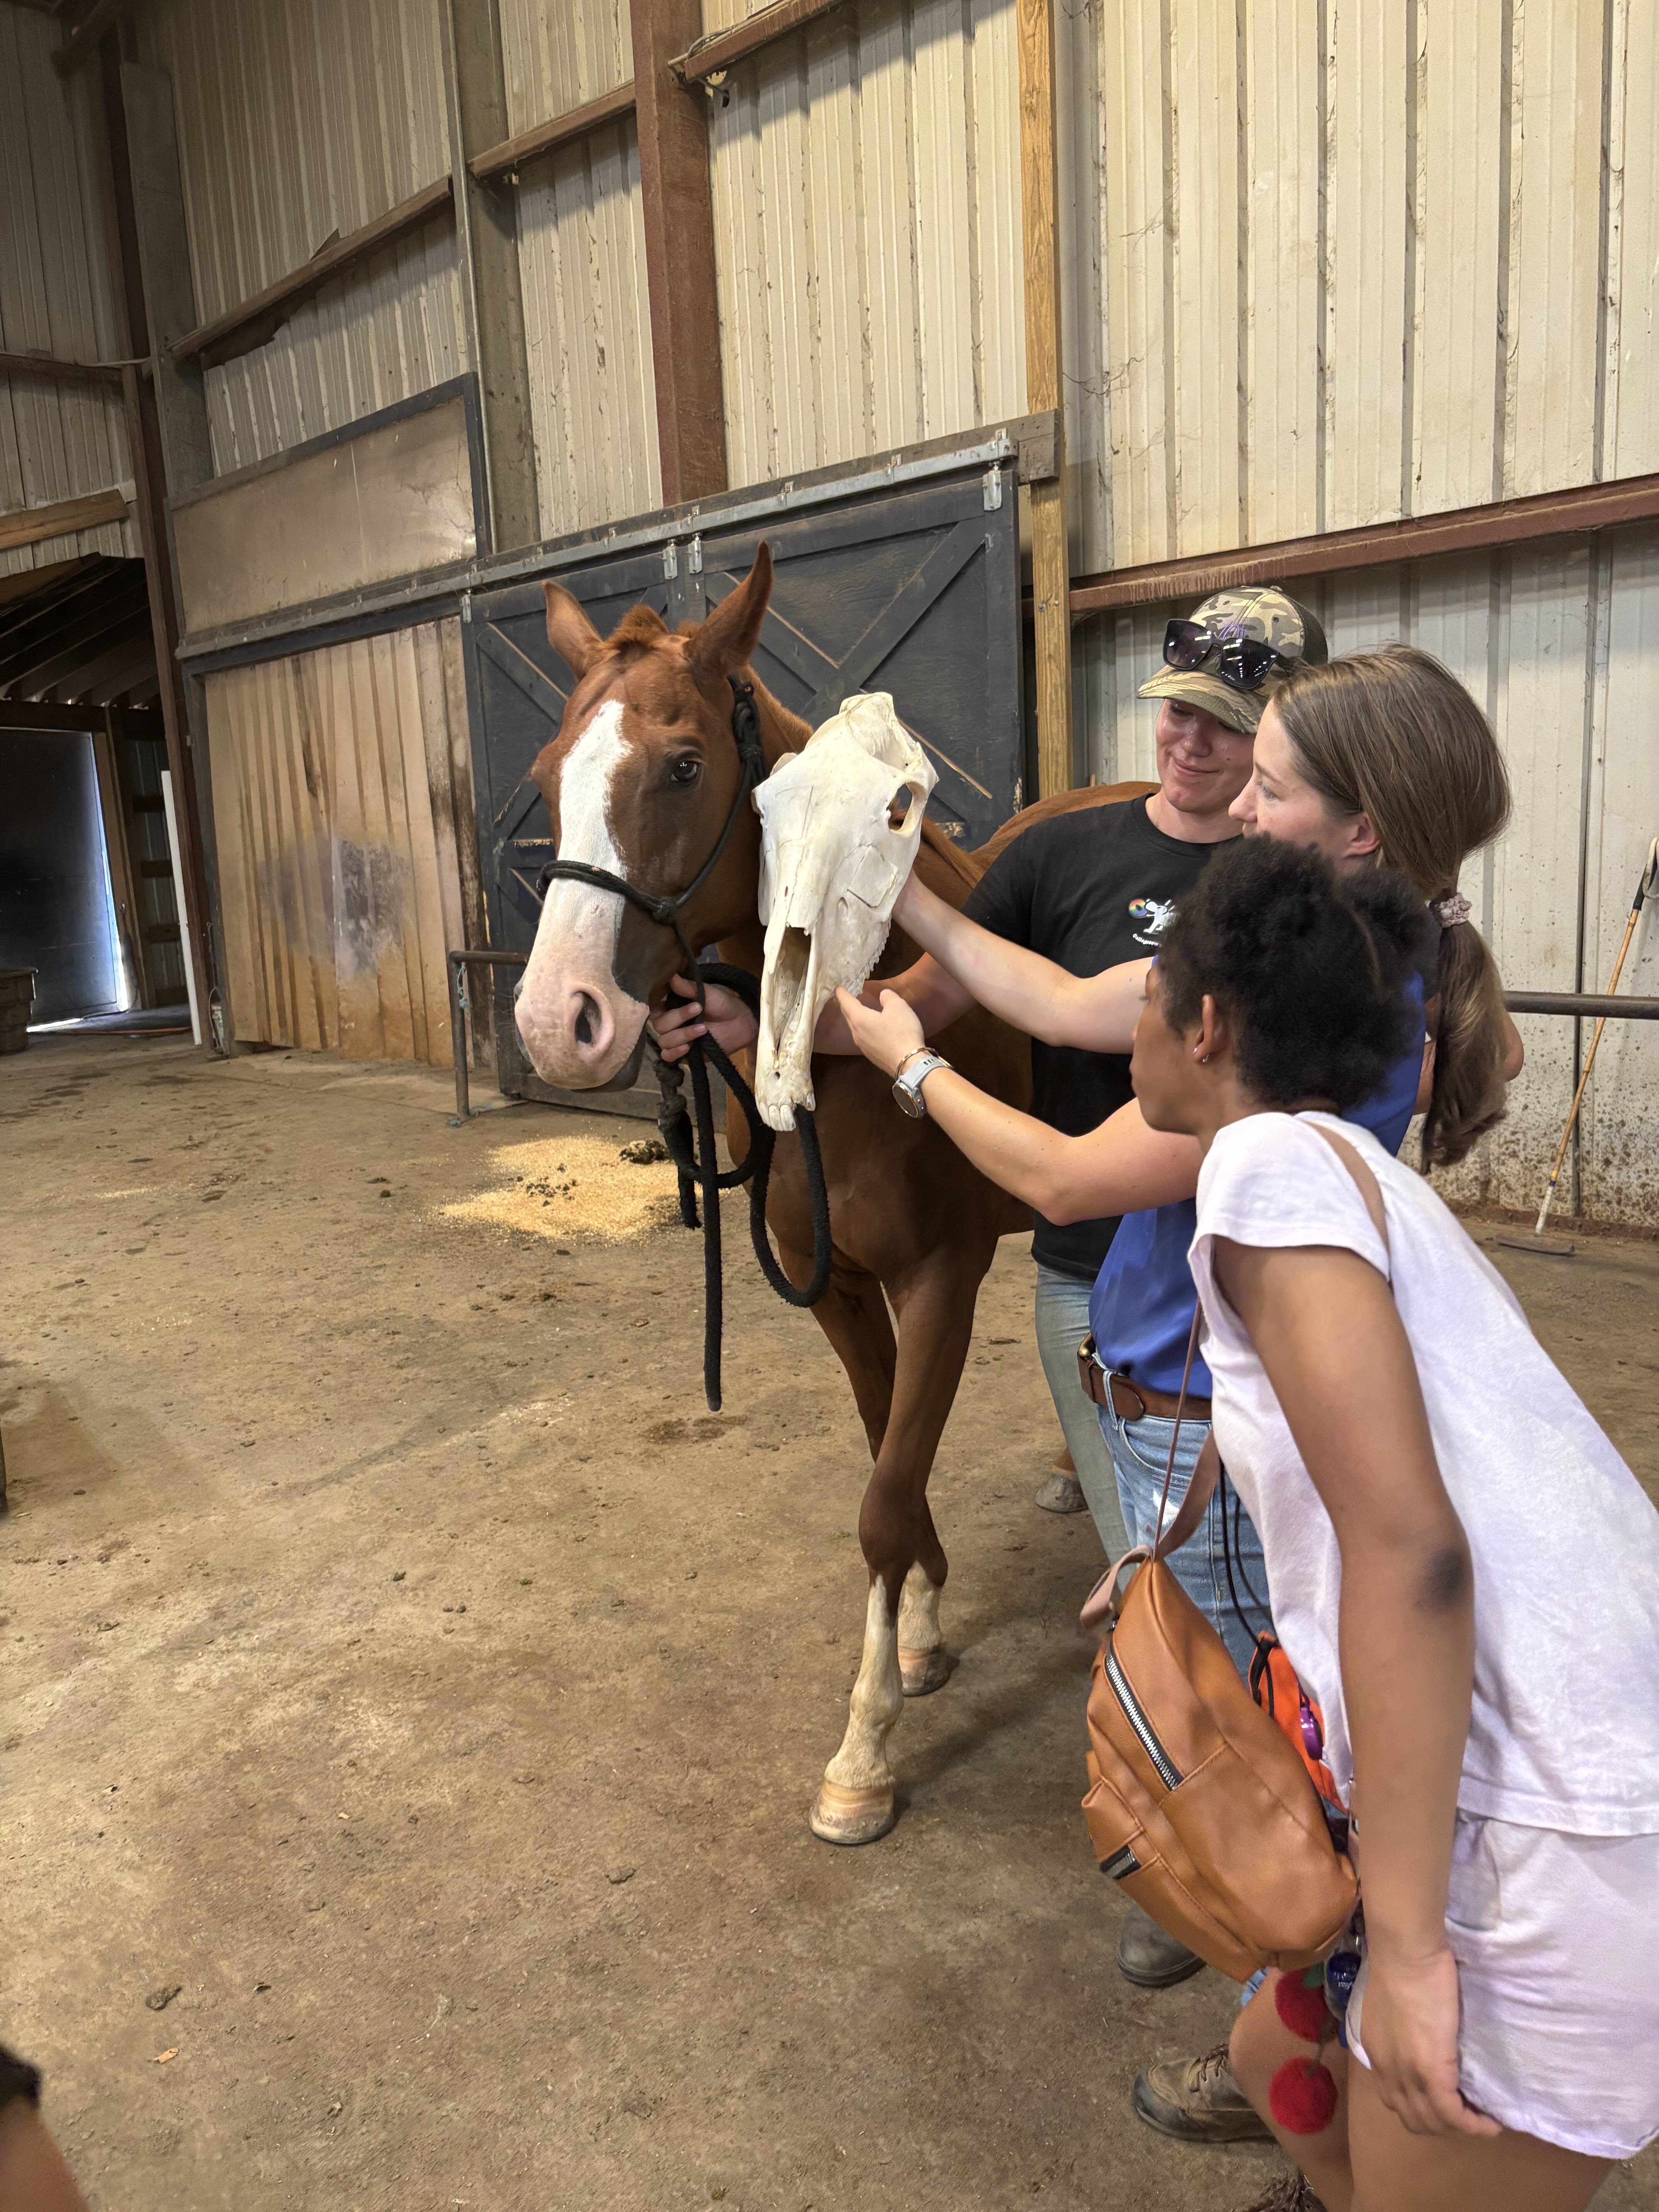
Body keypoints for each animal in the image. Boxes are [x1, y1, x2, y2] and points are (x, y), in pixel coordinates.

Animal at [513, 544, 1150, 1840]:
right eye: (550, 776)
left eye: (685, 766)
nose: (558, 1021)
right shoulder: (840, 1293)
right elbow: (884, 1461)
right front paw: (920, 1628)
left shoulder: (940, 1277)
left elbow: (885, 1495)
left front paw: (863, 1750)